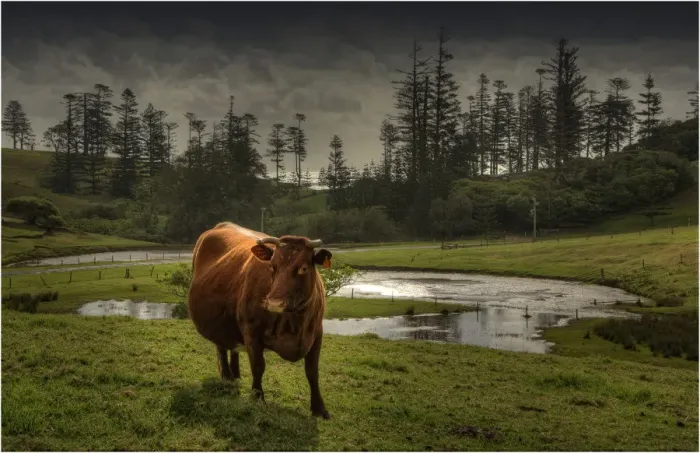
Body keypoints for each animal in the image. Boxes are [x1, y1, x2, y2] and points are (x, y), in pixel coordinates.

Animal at [187, 222, 333, 419]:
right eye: (272, 267)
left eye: (303, 268)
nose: (274, 302)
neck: (294, 323)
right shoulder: (252, 332)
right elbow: (258, 366)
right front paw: (257, 399)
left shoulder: (316, 332)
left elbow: (312, 371)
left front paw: (319, 409)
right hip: (217, 323)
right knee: (221, 347)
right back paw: (227, 377)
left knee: (232, 346)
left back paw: (236, 375)